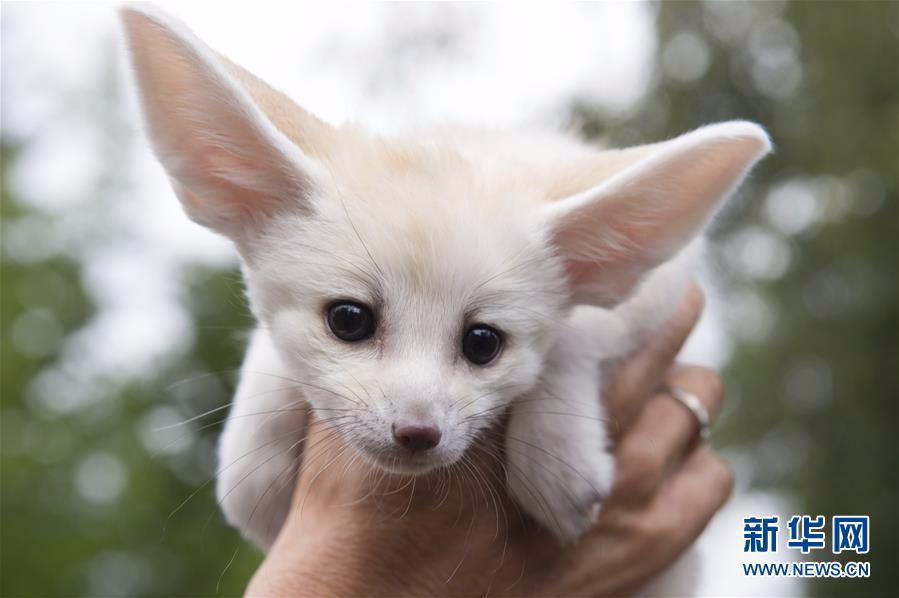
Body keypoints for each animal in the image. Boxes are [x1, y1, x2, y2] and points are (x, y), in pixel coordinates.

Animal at [119, 4, 768, 564]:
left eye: (483, 342)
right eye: (348, 320)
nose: (416, 432)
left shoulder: (662, 286)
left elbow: (573, 335)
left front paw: (556, 457)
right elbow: (268, 350)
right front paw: (251, 462)